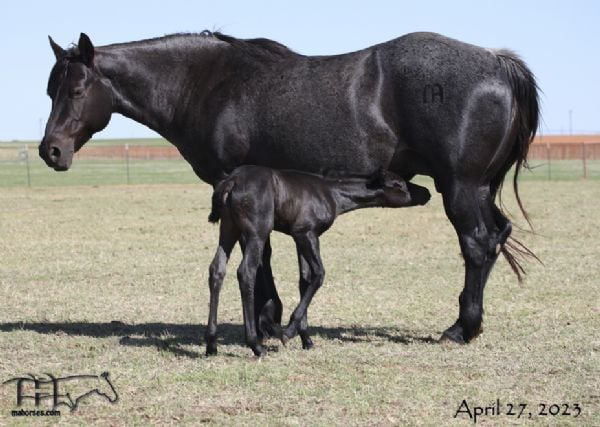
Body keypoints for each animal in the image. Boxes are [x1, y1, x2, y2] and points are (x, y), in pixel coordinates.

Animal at [206, 166, 432, 356]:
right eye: (399, 184)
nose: (427, 193)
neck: (331, 193)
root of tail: (232, 181)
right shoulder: (307, 233)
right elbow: (319, 274)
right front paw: (287, 332)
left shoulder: (301, 237)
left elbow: (304, 279)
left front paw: (306, 339)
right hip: (257, 233)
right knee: (246, 272)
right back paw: (256, 345)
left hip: (229, 228)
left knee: (217, 270)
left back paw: (211, 345)